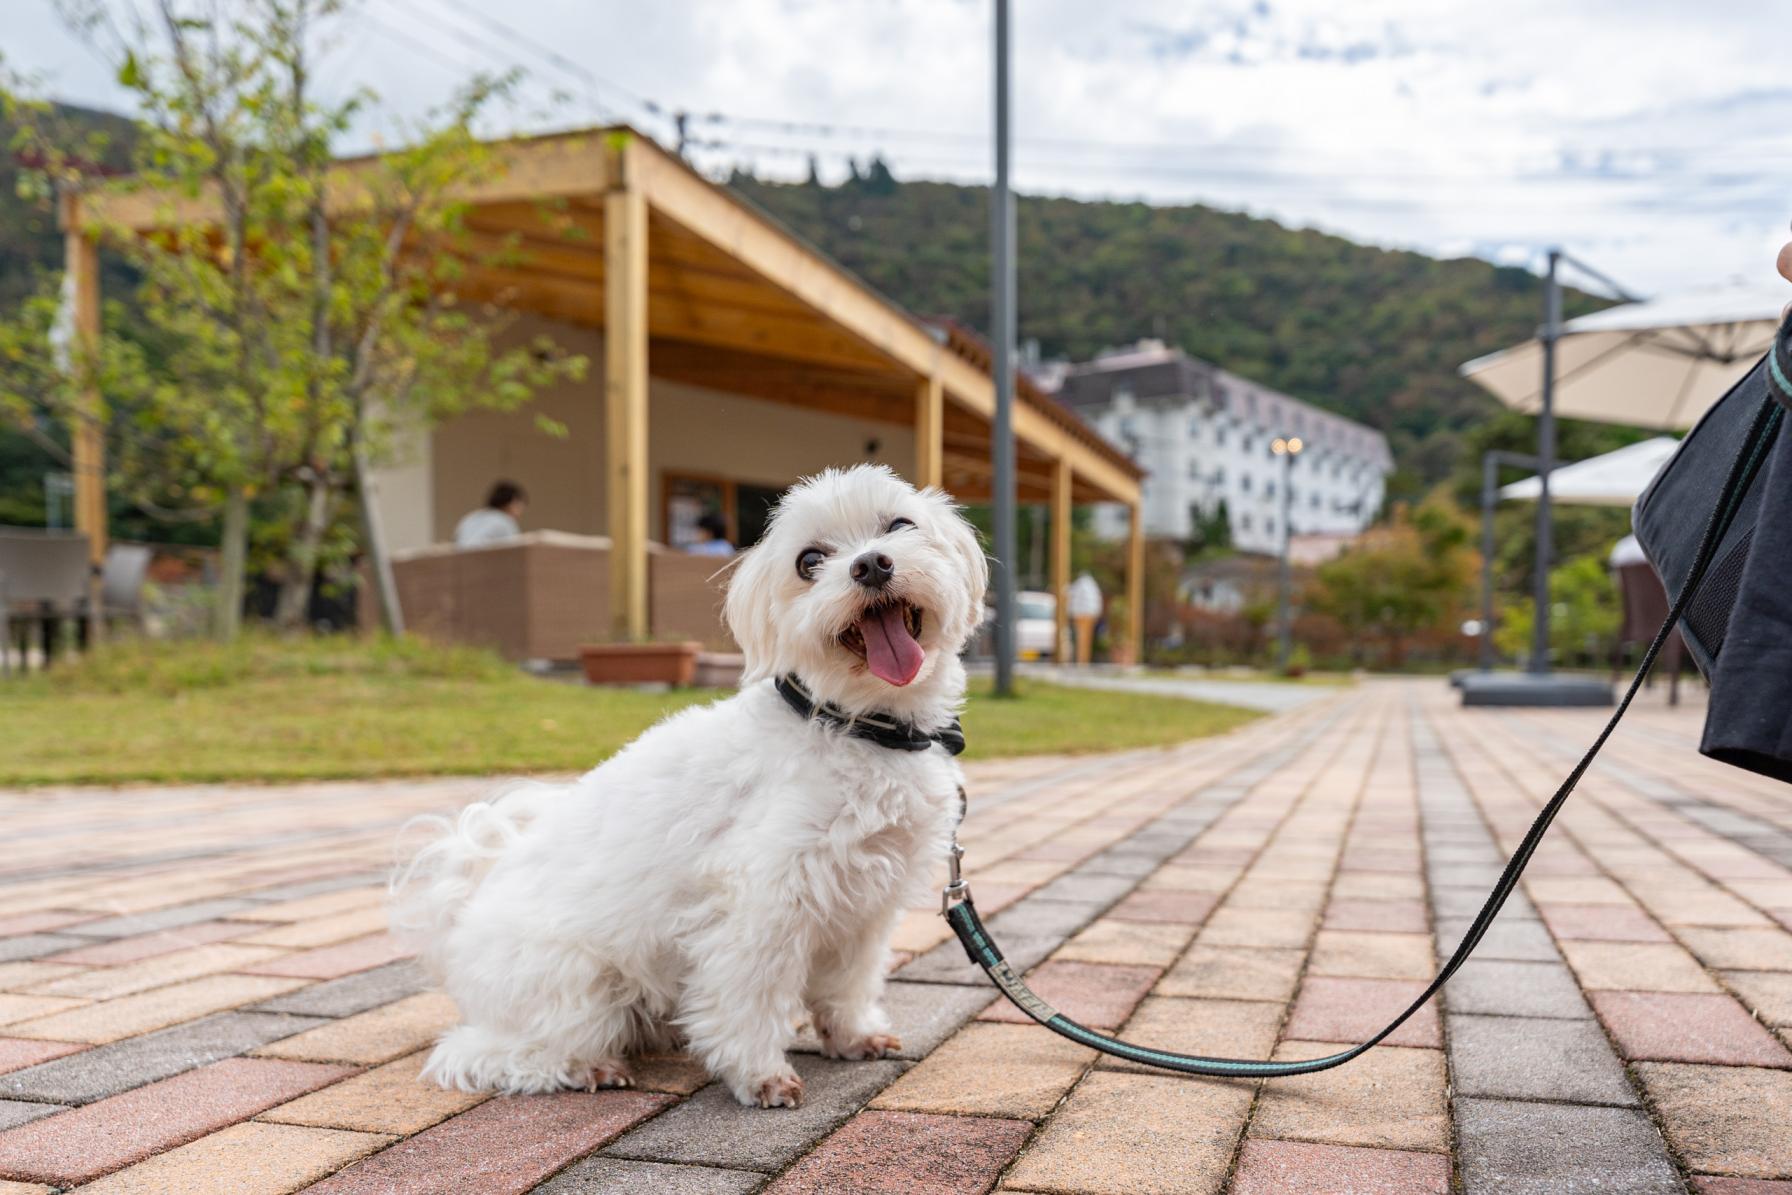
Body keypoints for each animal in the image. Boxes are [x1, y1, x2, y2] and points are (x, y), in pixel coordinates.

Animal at [388, 462, 996, 1110]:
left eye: (900, 526)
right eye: (809, 561)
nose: (871, 565)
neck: (854, 725)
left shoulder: (864, 905)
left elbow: (848, 983)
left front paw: (853, 1035)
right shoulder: (764, 900)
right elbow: (750, 996)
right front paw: (759, 1073)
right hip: (577, 986)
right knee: (482, 1052)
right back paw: (586, 1067)